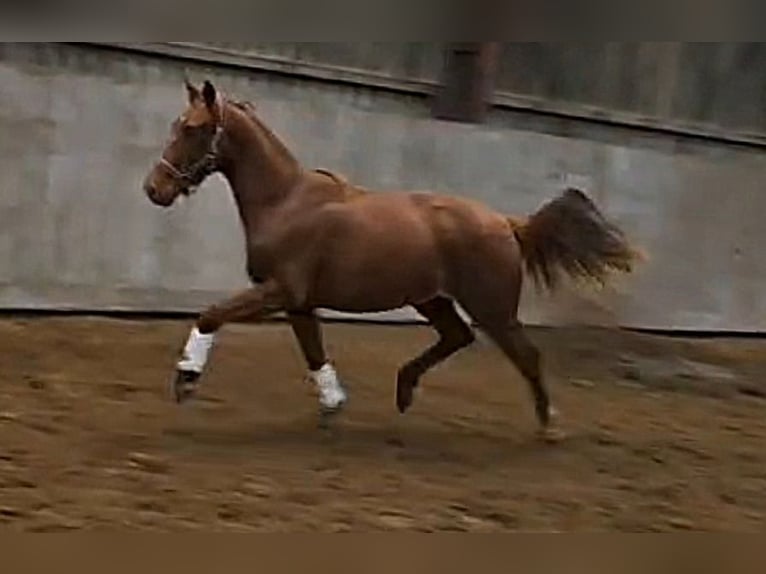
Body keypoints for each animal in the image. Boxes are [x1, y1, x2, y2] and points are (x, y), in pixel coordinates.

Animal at [142, 79, 641, 441]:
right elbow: (314, 351)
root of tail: (506, 221)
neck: (286, 201)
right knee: (458, 336)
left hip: (492, 308)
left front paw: (186, 380)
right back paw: (404, 390)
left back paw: (549, 425)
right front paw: (332, 406)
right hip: (432, 299)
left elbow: (211, 314)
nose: (154, 189)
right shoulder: (298, 301)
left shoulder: (280, 290)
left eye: (192, 128)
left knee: (526, 355)